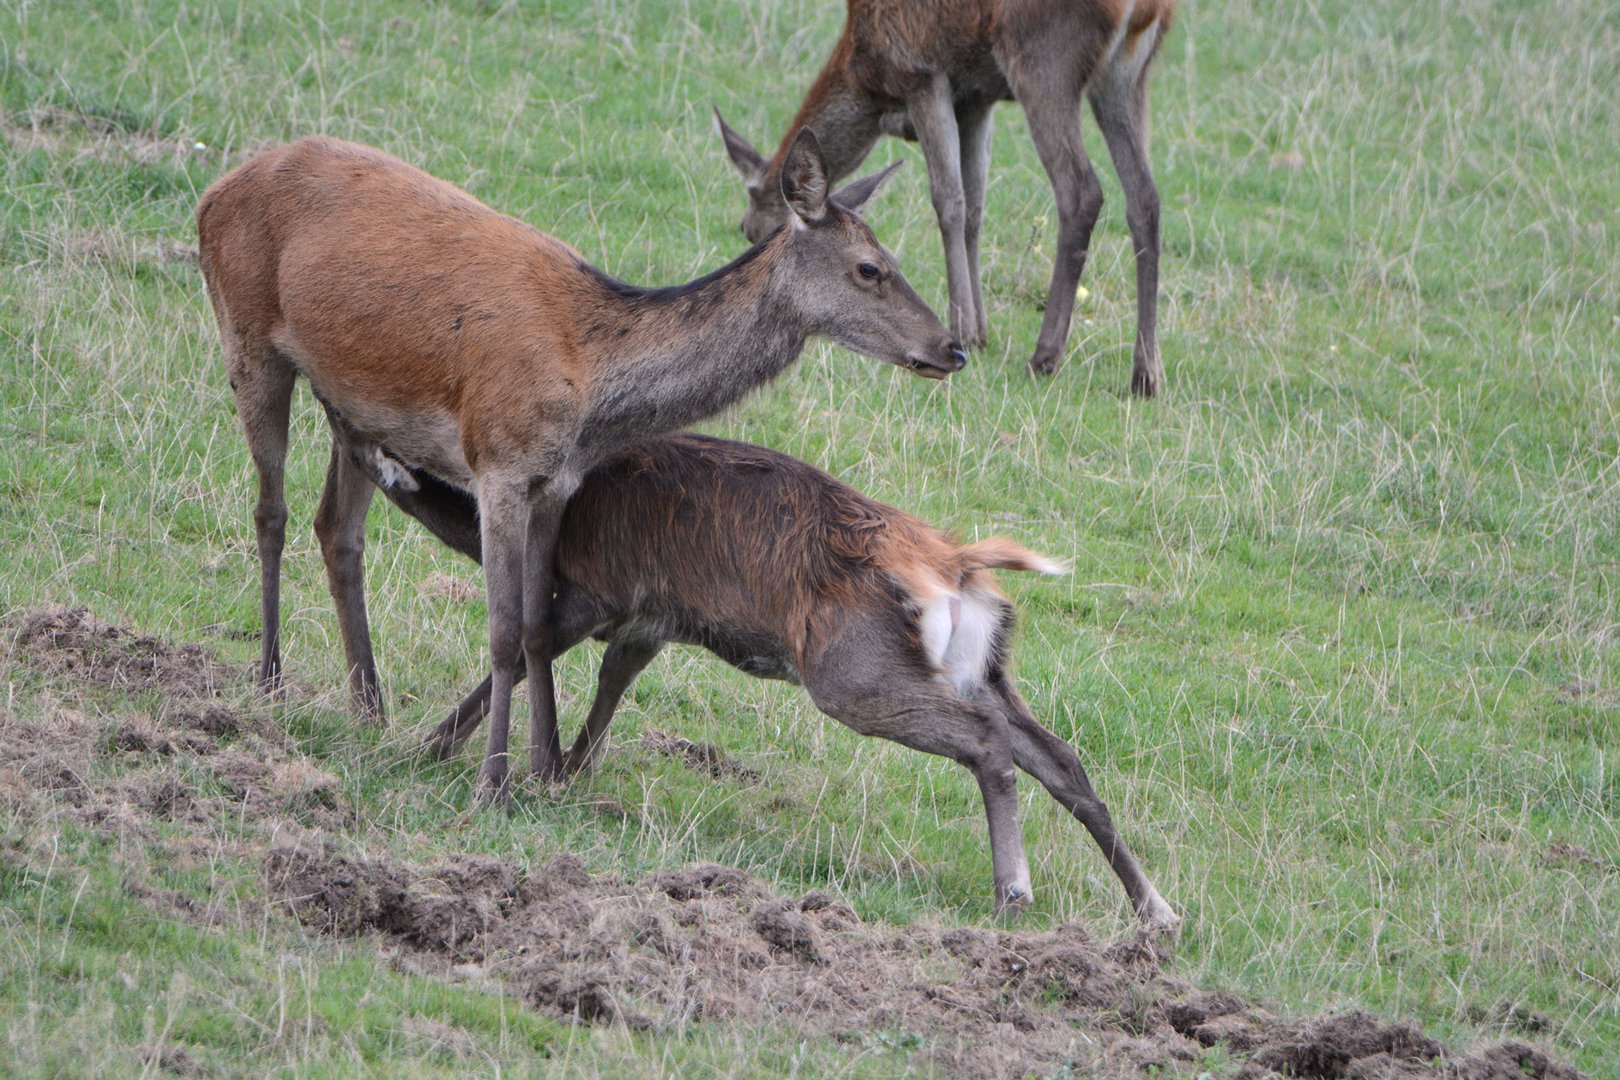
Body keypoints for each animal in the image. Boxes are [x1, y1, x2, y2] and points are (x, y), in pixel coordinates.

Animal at [199, 131, 959, 806]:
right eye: (869, 268)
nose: (951, 348)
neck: (591, 390)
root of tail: (219, 187)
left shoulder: (556, 485)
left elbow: (538, 629)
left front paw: (543, 767)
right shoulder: (498, 464)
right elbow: (504, 632)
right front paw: (494, 786)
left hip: (353, 401)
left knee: (338, 530)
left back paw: (369, 706)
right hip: (246, 333)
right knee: (272, 512)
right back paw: (270, 680)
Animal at [322, 427, 1179, 926]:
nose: (342, 432)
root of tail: (955, 567)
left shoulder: (597, 592)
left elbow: (530, 654)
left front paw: (436, 746)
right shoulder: (656, 619)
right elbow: (610, 685)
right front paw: (568, 768)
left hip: (852, 672)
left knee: (988, 743)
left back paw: (1016, 890)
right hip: (983, 668)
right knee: (1063, 759)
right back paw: (1155, 910)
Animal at [716, 0, 1172, 396]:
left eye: (752, 229)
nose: (747, 229)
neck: (866, 75)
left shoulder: (921, 74)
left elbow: (948, 199)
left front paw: (963, 328)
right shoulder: (976, 100)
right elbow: (975, 204)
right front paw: (980, 329)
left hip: (1043, 61)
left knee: (1081, 192)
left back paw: (1045, 356)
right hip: (1127, 77)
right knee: (1145, 197)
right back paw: (1146, 373)